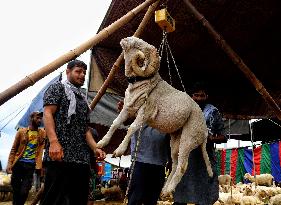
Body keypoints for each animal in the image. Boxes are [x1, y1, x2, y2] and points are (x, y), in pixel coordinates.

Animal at [95, 36, 211, 196]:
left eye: (139, 46)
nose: (124, 40)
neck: (141, 83)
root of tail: (205, 132)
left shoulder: (145, 113)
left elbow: (131, 128)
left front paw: (118, 151)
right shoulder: (128, 109)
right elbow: (115, 123)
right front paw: (101, 143)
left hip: (189, 139)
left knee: (182, 165)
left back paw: (168, 190)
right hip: (175, 139)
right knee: (174, 163)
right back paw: (163, 191)